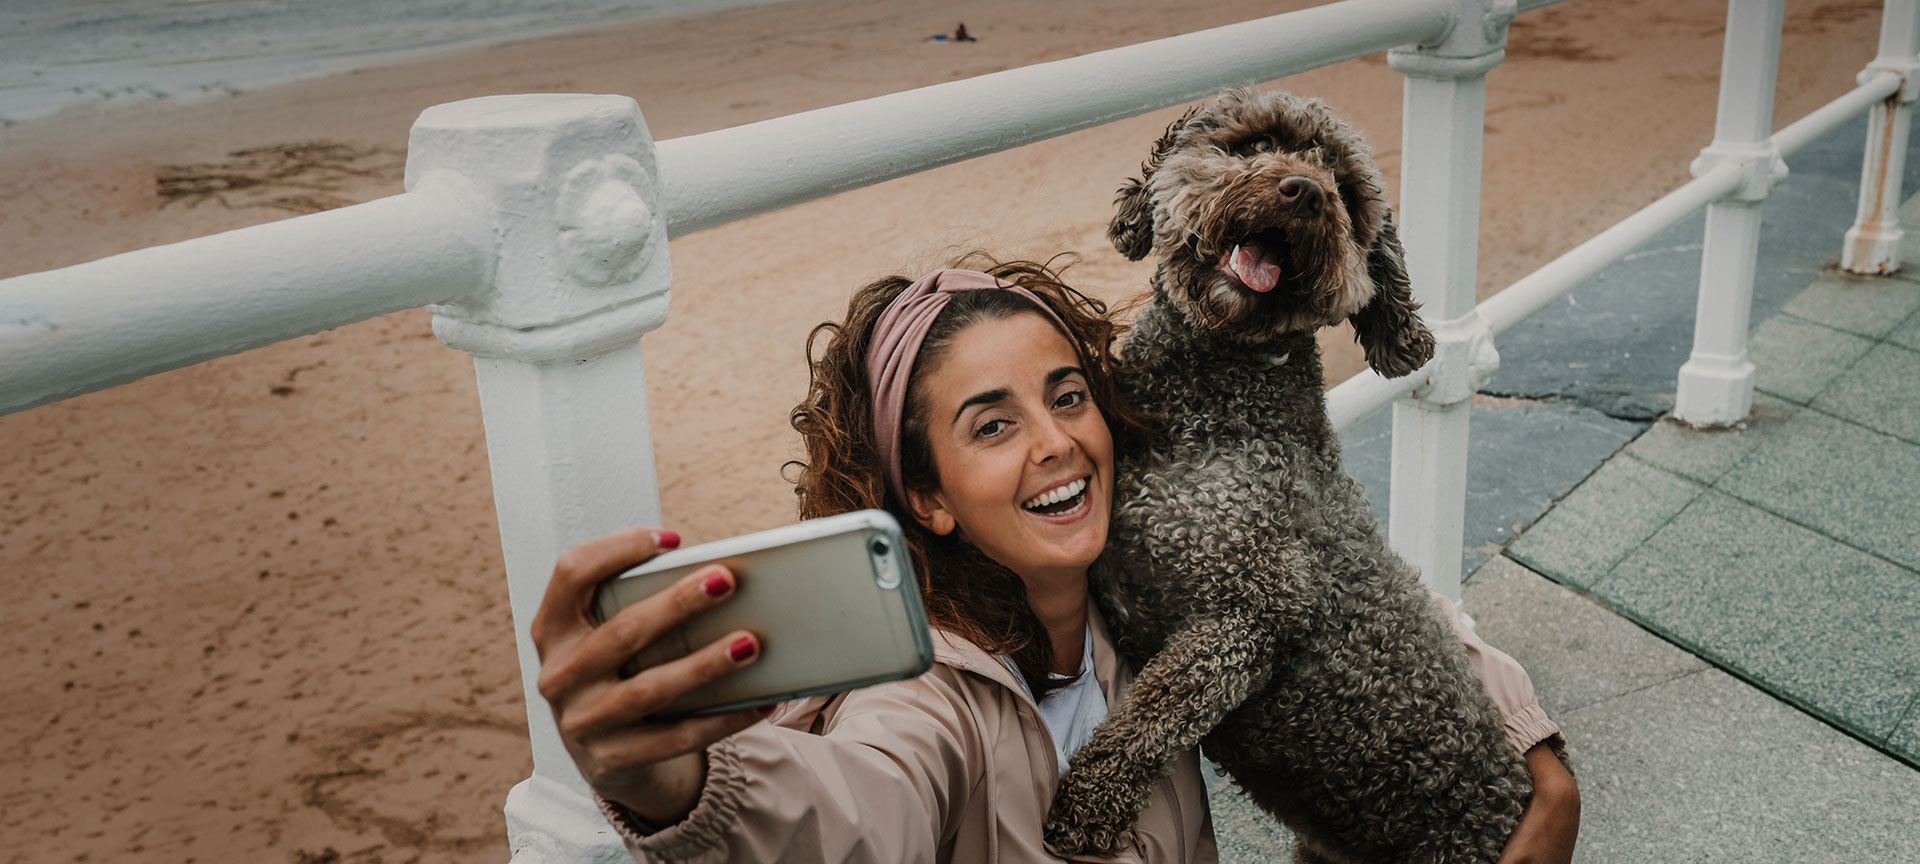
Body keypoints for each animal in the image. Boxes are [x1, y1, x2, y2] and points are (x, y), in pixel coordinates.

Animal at [1044, 89, 1536, 864]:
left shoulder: (1255, 609)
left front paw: (1089, 799)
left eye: (1347, 191)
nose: (1304, 190)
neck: (1212, 408)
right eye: (1254, 143)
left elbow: (1153, 713)